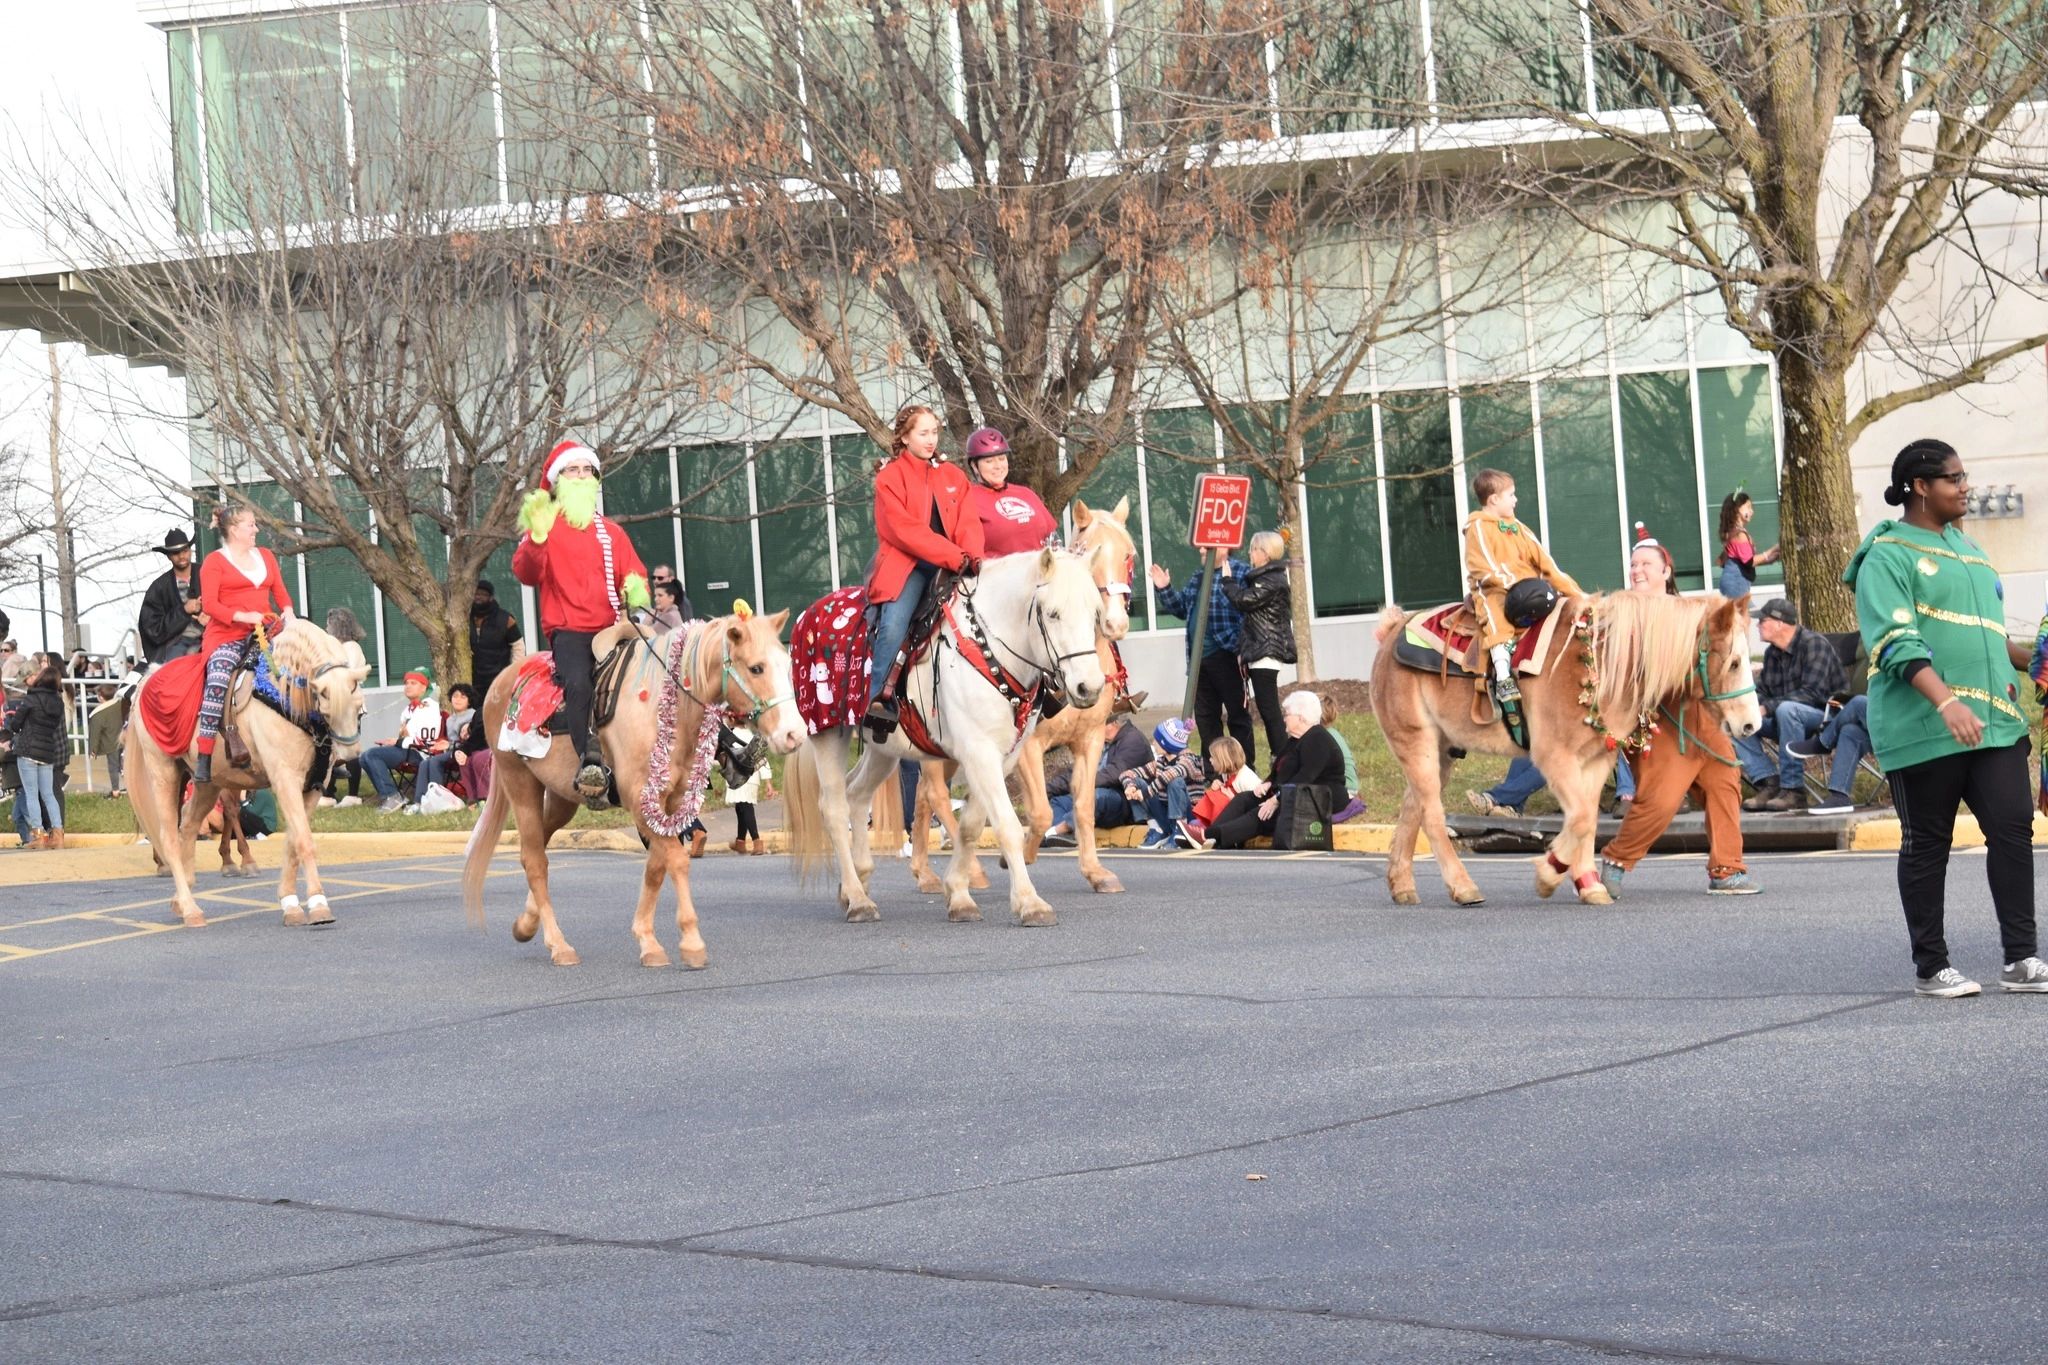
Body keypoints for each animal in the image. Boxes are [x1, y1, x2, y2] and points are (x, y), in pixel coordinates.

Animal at [124, 626, 372, 929]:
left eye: (358, 703)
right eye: (325, 700)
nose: (350, 753)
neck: (283, 697)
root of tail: (147, 681)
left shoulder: (312, 787)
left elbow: (293, 841)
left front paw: (291, 903)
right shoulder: (285, 778)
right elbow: (303, 841)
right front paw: (318, 905)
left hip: (208, 782)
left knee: (190, 825)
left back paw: (182, 901)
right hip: (163, 772)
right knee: (169, 836)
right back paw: (191, 909)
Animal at [460, 609, 802, 970]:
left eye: (786, 663)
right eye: (756, 668)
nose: (794, 734)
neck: (659, 708)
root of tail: (500, 681)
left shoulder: (670, 802)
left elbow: (656, 866)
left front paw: (647, 940)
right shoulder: (640, 799)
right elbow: (676, 860)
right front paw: (691, 941)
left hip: (562, 798)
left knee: (538, 845)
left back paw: (526, 923)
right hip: (520, 782)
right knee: (535, 860)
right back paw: (558, 944)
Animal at [782, 548, 1114, 929]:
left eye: (1095, 613)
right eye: (1052, 613)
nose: (1089, 688)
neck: (988, 648)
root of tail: (807, 614)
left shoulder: (1003, 756)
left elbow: (971, 825)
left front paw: (958, 894)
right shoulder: (980, 752)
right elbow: (1007, 825)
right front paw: (1030, 903)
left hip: (882, 748)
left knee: (857, 796)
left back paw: (857, 884)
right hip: (828, 734)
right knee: (835, 809)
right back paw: (857, 899)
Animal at [909, 497, 1146, 900]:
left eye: (1129, 554)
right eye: (1088, 551)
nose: (1115, 624)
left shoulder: (1091, 737)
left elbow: (1084, 806)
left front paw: (1096, 872)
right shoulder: (1028, 745)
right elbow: (1041, 813)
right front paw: (1021, 854)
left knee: (924, 795)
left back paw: (924, 872)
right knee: (936, 793)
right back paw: (971, 870)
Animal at [1368, 593, 1753, 908]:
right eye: (1734, 662)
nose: (1751, 724)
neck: (1600, 664)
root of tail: (1392, 632)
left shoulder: (1595, 761)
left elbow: (1587, 820)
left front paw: (1589, 885)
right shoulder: (1555, 759)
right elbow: (1580, 818)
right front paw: (1548, 875)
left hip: (1441, 751)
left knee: (1412, 808)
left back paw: (1401, 885)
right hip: (1416, 743)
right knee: (1432, 816)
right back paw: (1463, 887)